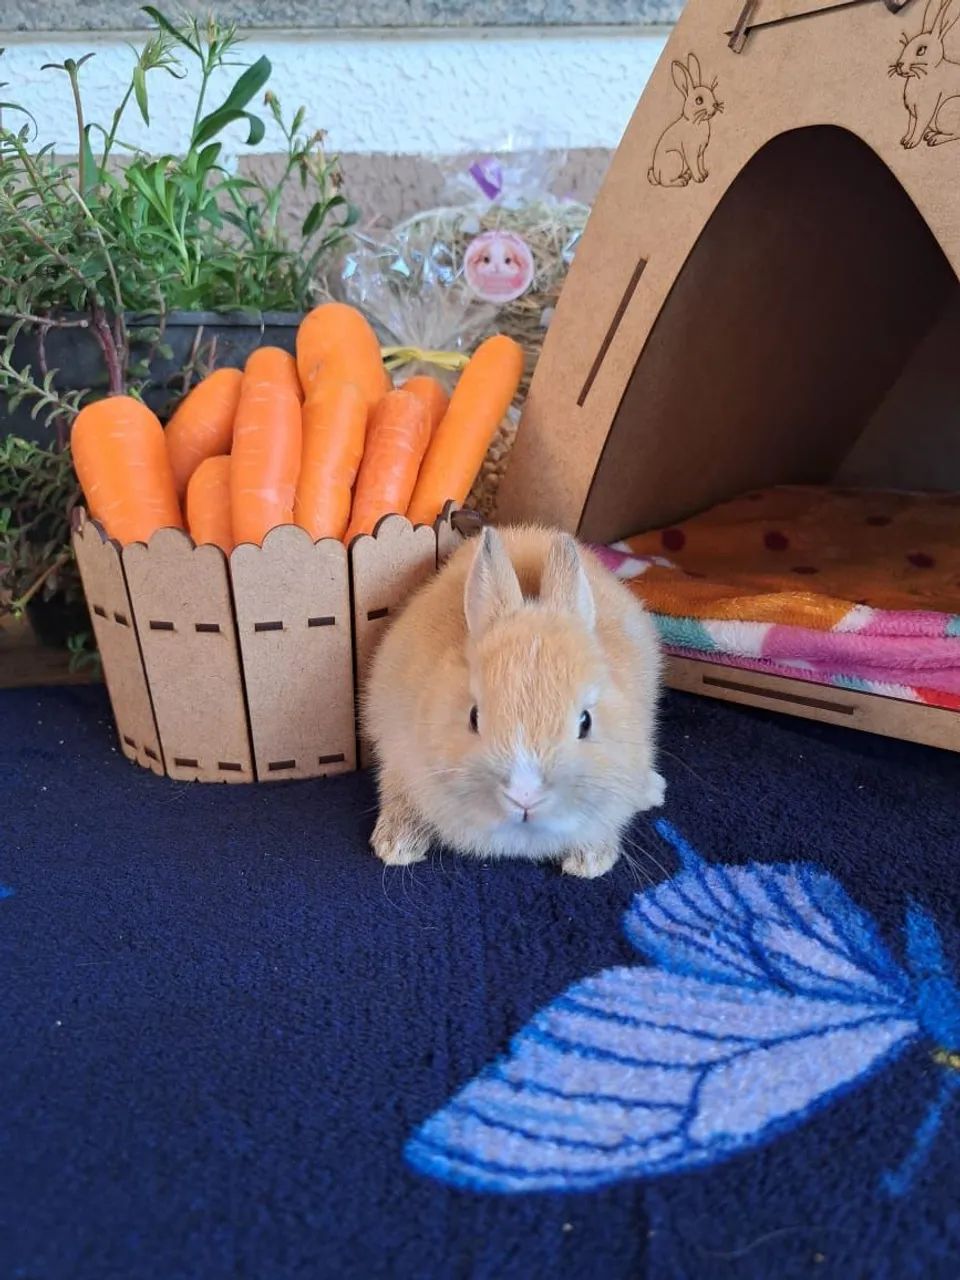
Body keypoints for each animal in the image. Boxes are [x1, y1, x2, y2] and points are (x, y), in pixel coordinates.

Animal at [648, 54, 723, 188]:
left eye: (711, 92)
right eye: (699, 100)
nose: (715, 105)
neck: (694, 122)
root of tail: (656, 176)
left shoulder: (701, 152)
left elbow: (700, 163)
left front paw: (705, 174)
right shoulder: (690, 151)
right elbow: (694, 165)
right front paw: (699, 178)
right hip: (675, 157)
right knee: (666, 182)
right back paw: (682, 181)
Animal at [892, 0, 960, 148]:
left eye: (921, 50)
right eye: (905, 45)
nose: (899, 65)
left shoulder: (925, 110)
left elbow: (919, 127)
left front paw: (911, 143)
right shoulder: (912, 112)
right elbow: (911, 126)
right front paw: (905, 140)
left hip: (945, 110)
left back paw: (935, 139)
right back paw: (930, 135)